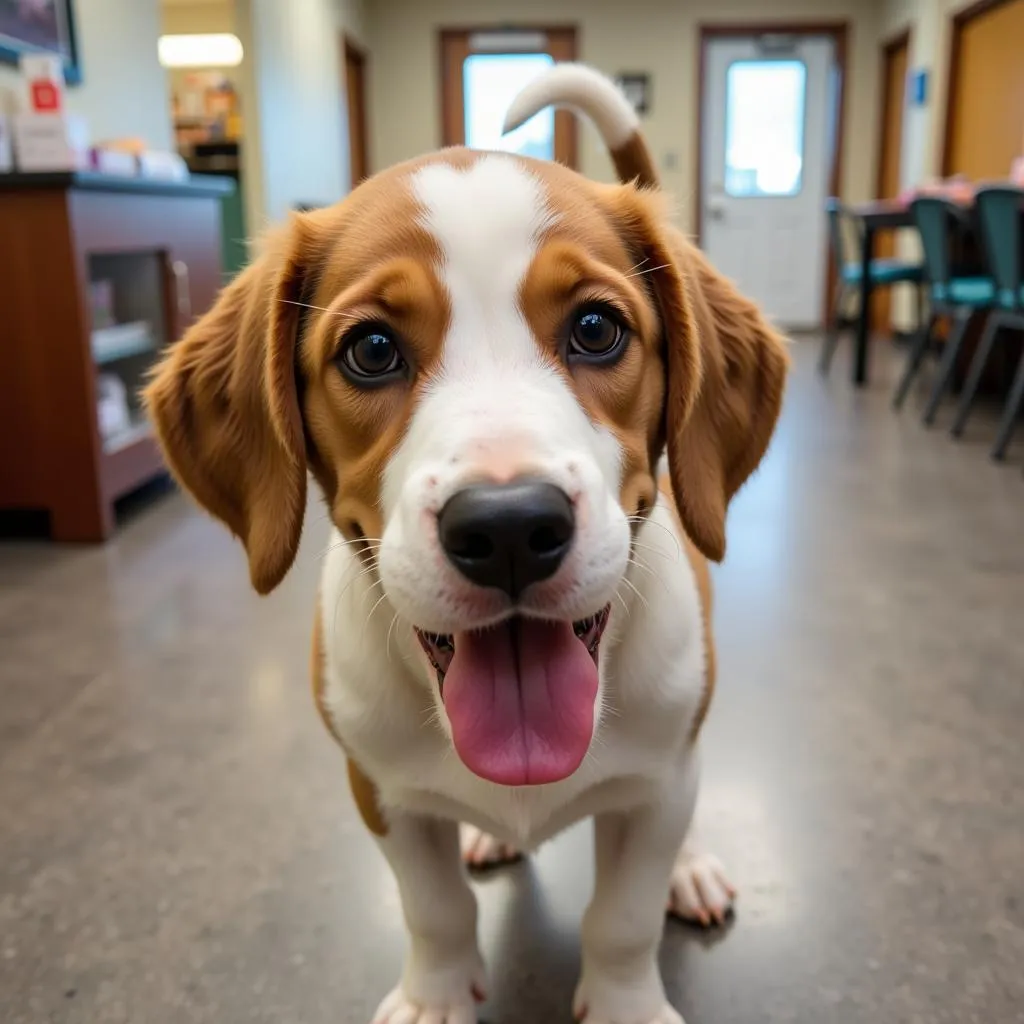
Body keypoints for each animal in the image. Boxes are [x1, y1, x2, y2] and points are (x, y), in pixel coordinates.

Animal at [142, 66, 782, 1024]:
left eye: (597, 330)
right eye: (371, 349)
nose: (510, 527)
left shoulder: (660, 787)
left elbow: (623, 917)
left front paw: (627, 1002)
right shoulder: (380, 791)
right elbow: (433, 906)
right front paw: (435, 995)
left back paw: (693, 868)